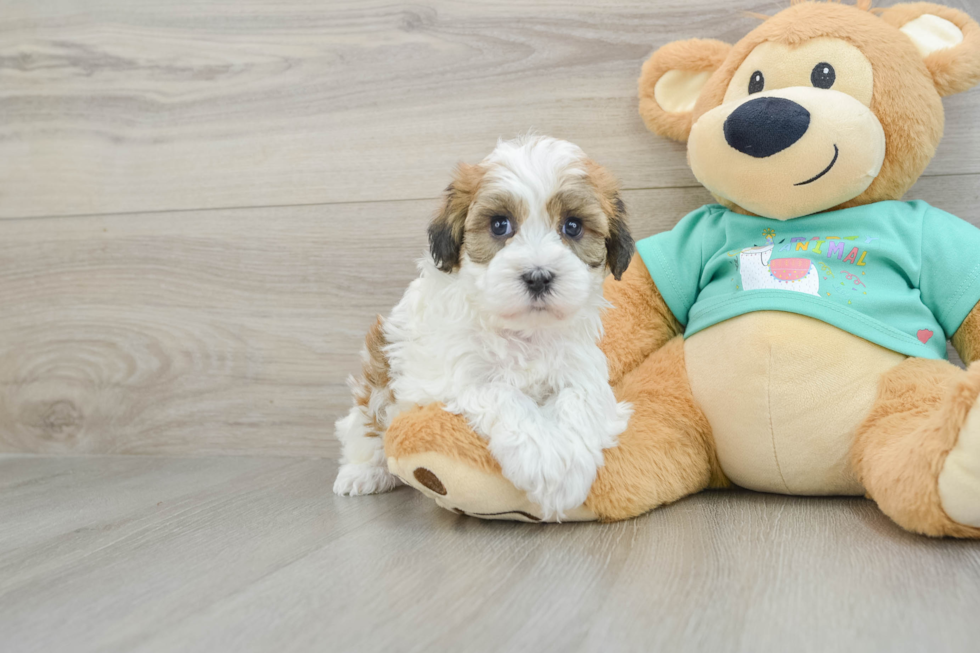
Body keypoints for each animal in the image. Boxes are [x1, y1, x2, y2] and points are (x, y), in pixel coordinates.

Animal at [334, 134, 636, 520]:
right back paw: (362, 474)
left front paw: (567, 471)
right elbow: (501, 392)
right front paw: (545, 461)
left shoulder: (580, 368)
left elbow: (580, 398)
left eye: (572, 226)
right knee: (364, 432)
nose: (538, 276)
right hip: (374, 392)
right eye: (499, 225)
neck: (524, 333)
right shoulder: (452, 379)